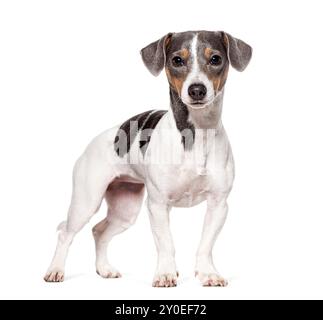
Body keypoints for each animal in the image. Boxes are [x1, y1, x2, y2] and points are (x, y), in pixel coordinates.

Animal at [44, 30, 253, 288]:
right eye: (177, 60)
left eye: (215, 59)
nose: (197, 90)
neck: (197, 133)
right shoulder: (157, 205)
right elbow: (166, 244)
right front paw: (165, 273)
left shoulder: (218, 205)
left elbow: (205, 245)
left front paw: (208, 273)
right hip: (86, 202)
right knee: (65, 232)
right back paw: (55, 270)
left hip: (125, 209)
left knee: (99, 231)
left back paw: (104, 269)